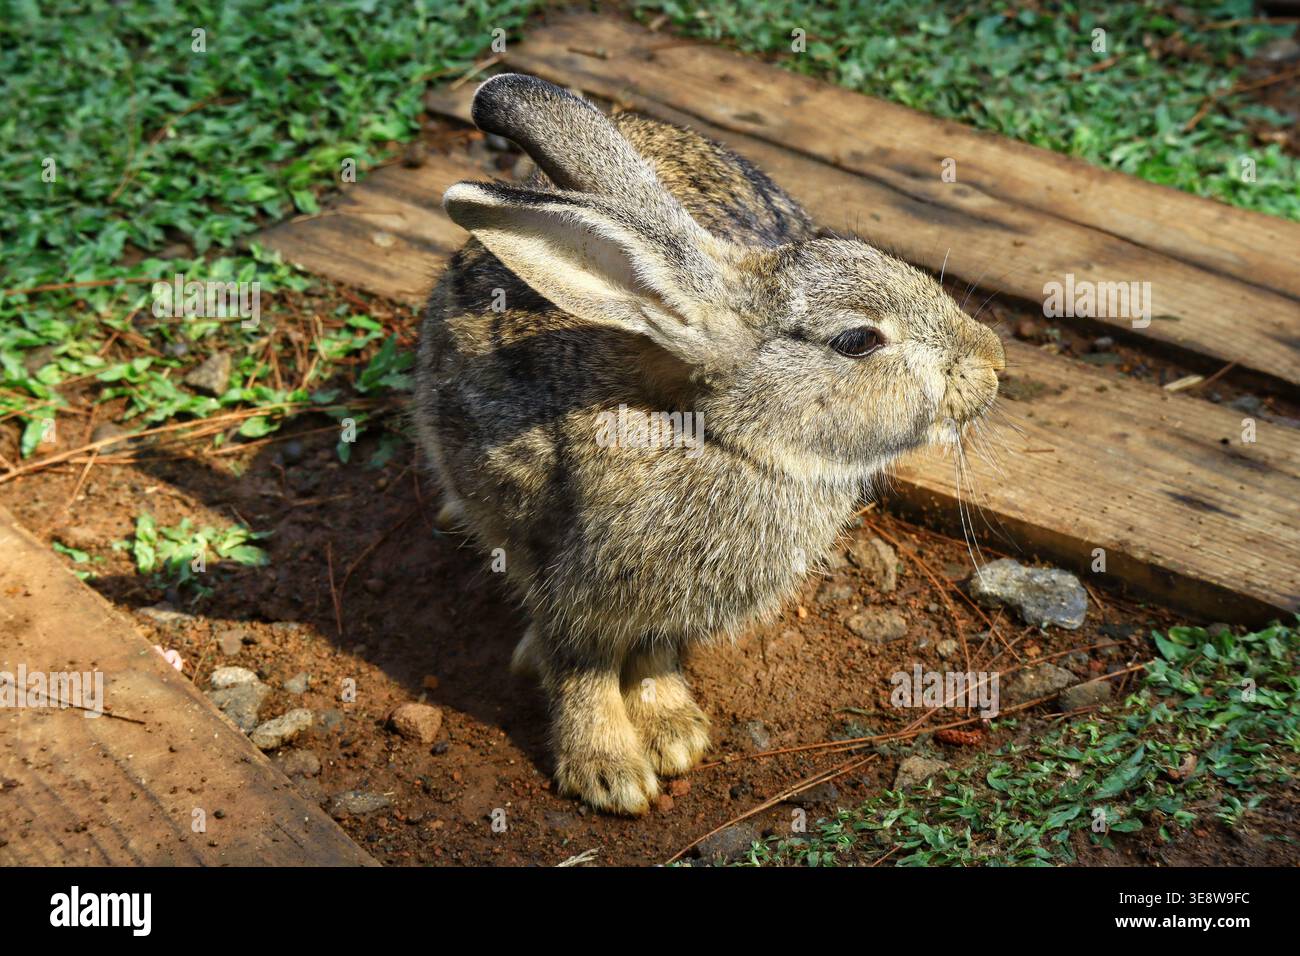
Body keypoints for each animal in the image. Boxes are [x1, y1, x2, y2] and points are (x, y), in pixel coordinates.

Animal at [414, 73, 1005, 815]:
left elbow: (650, 659)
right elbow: (581, 673)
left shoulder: (661, 613)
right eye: (857, 341)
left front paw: (674, 733)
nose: (993, 361)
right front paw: (610, 774)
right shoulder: (564, 580)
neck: (724, 435)